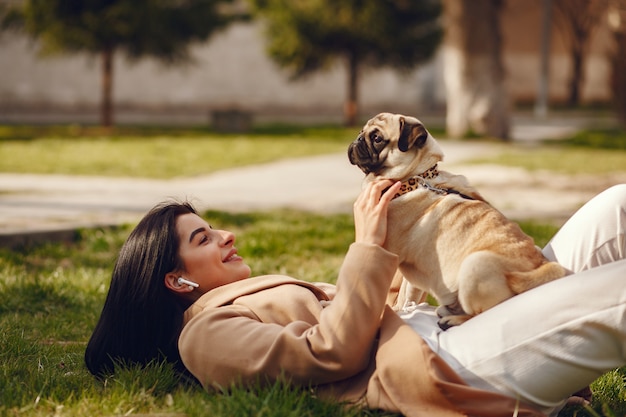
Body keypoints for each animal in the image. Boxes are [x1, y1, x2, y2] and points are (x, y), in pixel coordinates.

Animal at [346, 113, 564, 328]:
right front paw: (403, 308)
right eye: (362, 132)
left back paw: (453, 320)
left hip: (474, 265)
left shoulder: (387, 249)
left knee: (481, 314)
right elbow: (409, 293)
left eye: (377, 138)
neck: (415, 179)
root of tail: (541, 266)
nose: (358, 139)